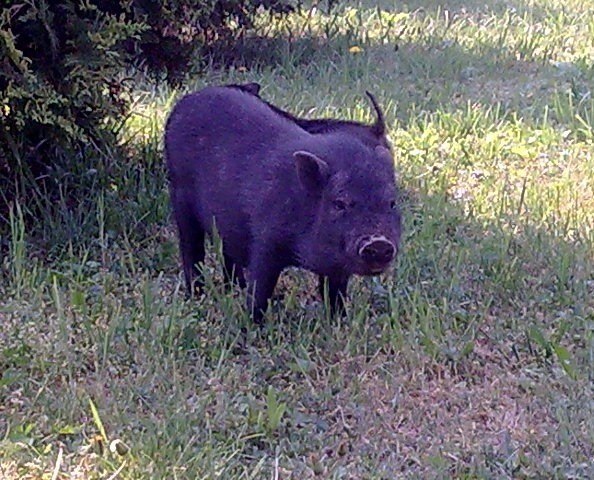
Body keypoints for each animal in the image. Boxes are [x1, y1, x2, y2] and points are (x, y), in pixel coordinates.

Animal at [164, 88, 400, 324]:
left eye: (391, 202)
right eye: (339, 203)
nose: (379, 243)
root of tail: (186, 101)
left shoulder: (336, 265)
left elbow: (334, 293)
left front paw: (339, 322)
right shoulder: (265, 241)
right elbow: (261, 288)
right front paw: (252, 324)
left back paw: (234, 289)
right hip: (180, 194)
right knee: (191, 249)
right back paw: (196, 296)